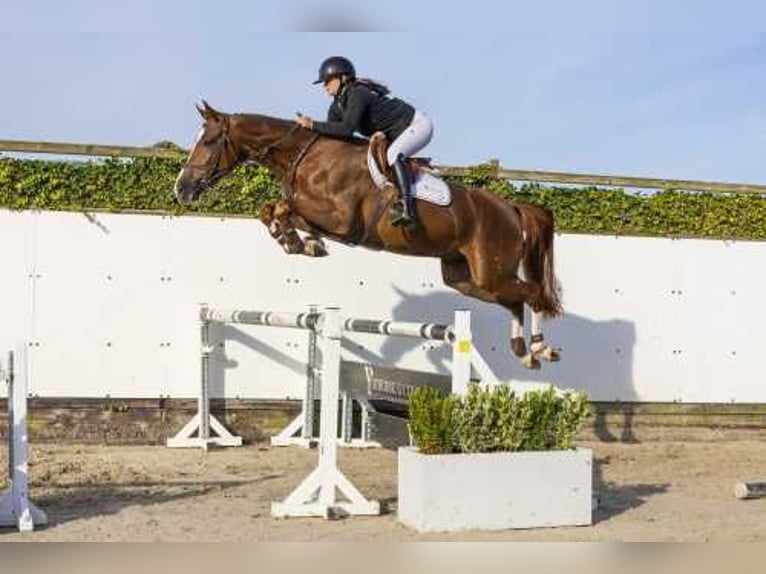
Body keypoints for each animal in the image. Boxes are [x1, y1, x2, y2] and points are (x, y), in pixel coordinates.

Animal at [177, 100, 568, 366]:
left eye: (208, 142)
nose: (181, 189)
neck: (306, 156)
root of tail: (511, 208)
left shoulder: (341, 219)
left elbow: (284, 208)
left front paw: (295, 239)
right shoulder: (323, 217)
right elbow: (272, 210)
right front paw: (300, 242)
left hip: (490, 270)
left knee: (532, 293)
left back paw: (541, 347)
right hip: (468, 279)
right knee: (514, 299)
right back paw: (525, 353)